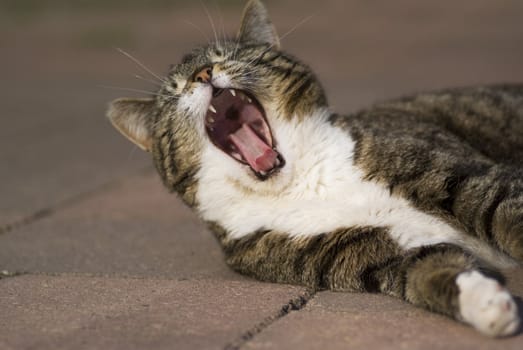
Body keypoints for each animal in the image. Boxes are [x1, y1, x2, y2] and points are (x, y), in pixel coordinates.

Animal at [107, 0, 523, 340]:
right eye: (175, 90)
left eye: (226, 55)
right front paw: (488, 307)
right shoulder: (379, 249)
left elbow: (503, 210)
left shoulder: (463, 177)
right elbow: (433, 270)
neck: (304, 182)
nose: (204, 74)